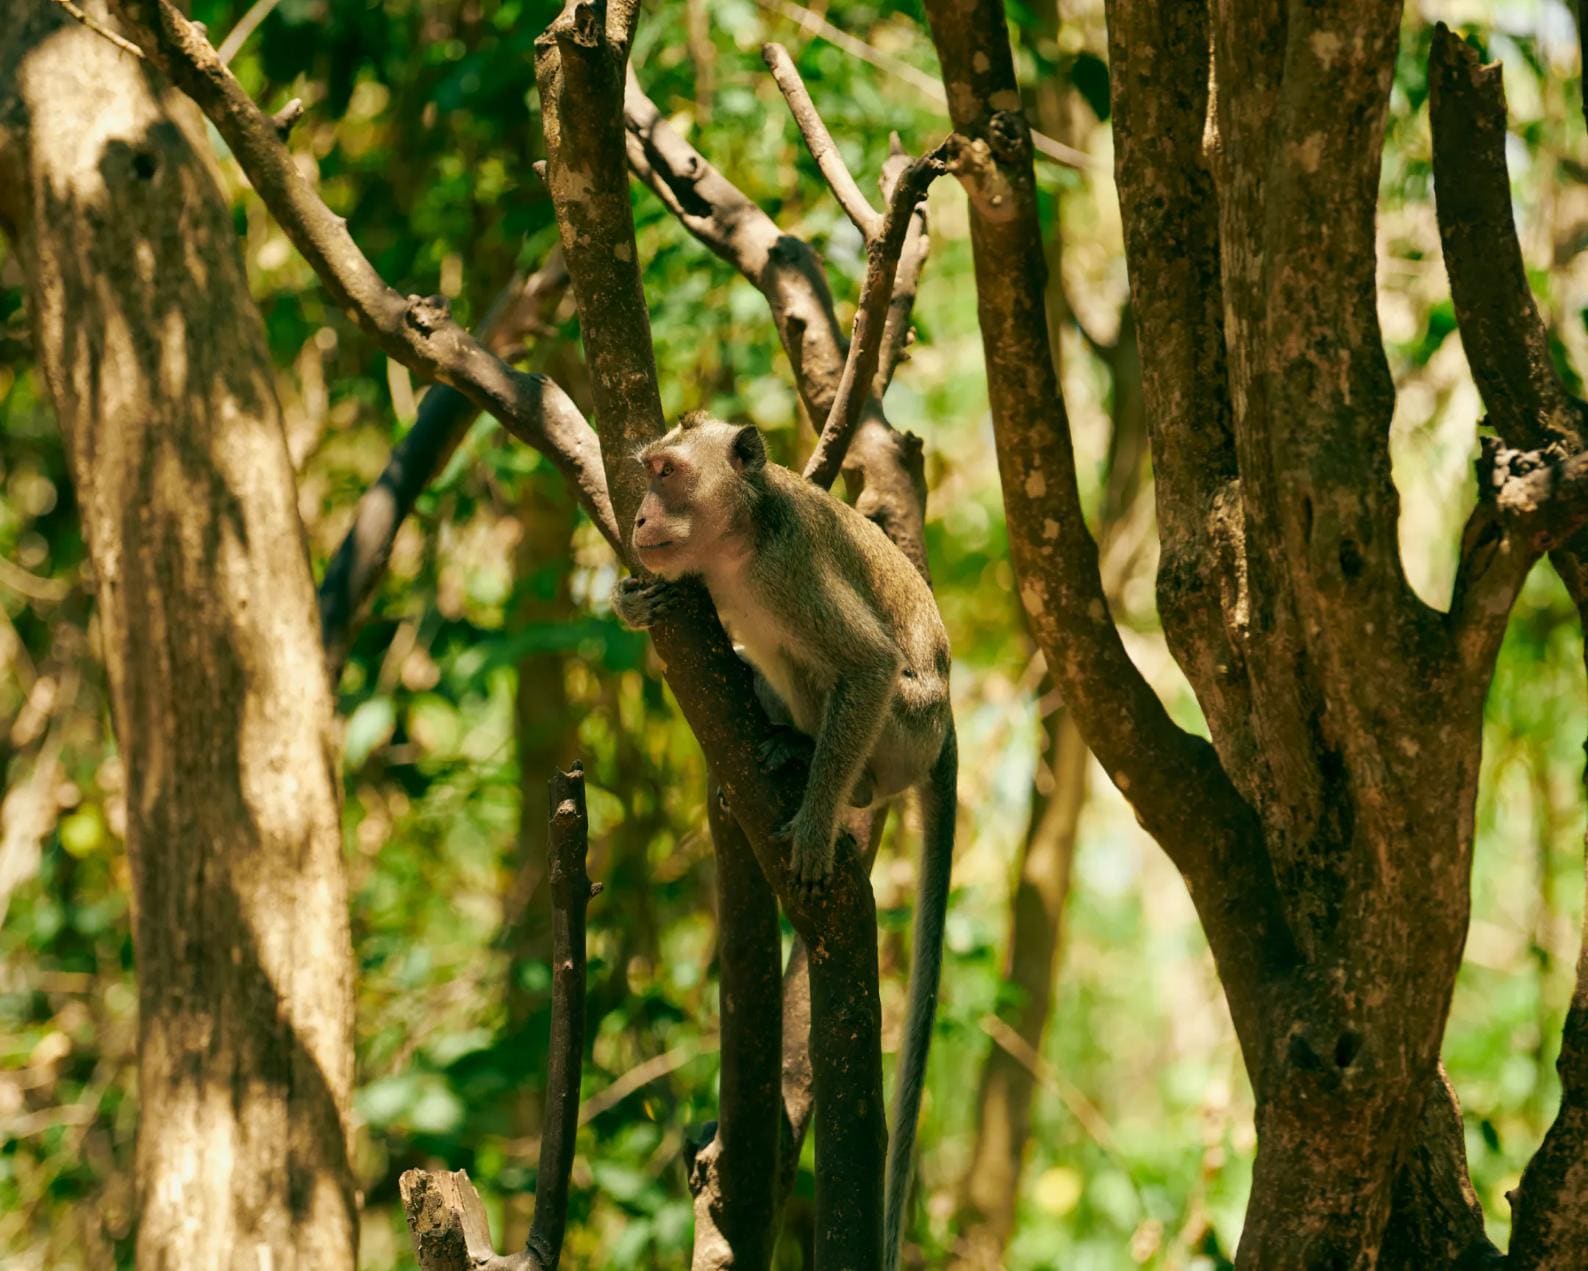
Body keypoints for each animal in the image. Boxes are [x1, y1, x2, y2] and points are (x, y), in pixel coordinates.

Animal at [611, 410, 957, 1269]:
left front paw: (812, 824)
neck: (739, 545)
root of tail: (945, 734)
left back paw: (814, 770)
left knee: (839, 677)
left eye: (667, 473)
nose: (640, 518)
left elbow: (866, 664)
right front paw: (635, 598)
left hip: (907, 727)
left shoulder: (794, 573)